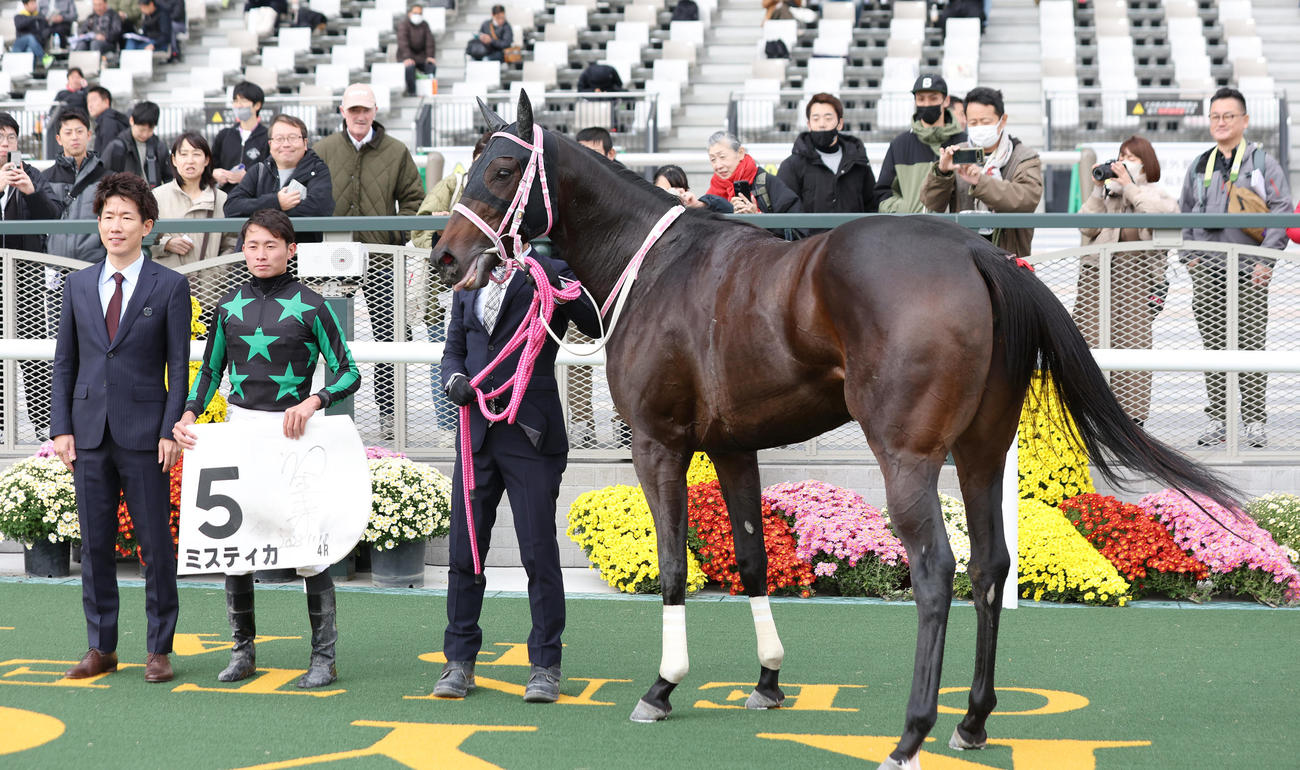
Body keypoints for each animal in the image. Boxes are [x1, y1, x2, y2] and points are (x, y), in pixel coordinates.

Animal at [430, 93, 1240, 770]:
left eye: (502, 167)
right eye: (470, 162)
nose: (445, 256)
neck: (656, 266)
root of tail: (975, 251)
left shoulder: (660, 444)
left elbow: (671, 567)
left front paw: (662, 687)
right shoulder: (733, 447)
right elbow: (753, 560)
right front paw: (766, 680)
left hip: (907, 458)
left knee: (936, 571)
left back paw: (911, 733)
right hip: (981, 452)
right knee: (989, 566)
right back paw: (972, 720)